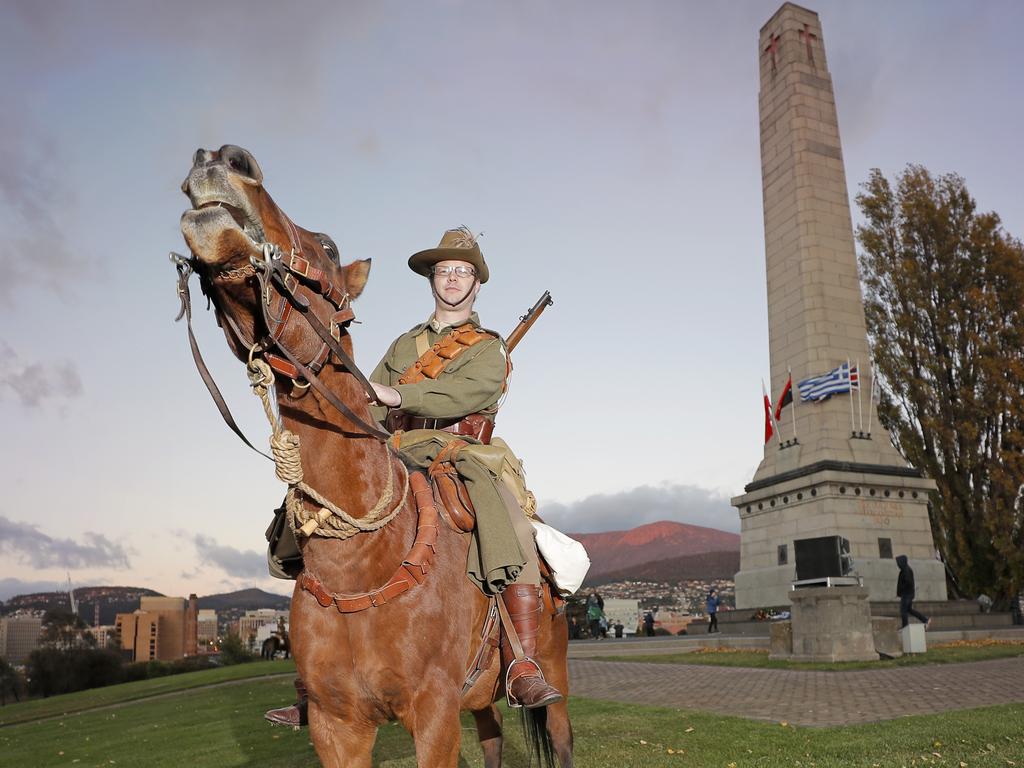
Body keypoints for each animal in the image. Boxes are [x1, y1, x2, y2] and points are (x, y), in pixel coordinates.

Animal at [179, 147, 573, 765]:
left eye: (330, 245)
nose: (223, 160)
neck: (361, 562)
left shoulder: (433, 717)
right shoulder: (335, 727)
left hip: (551, 680)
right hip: (479, 699)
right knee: (490, 738)